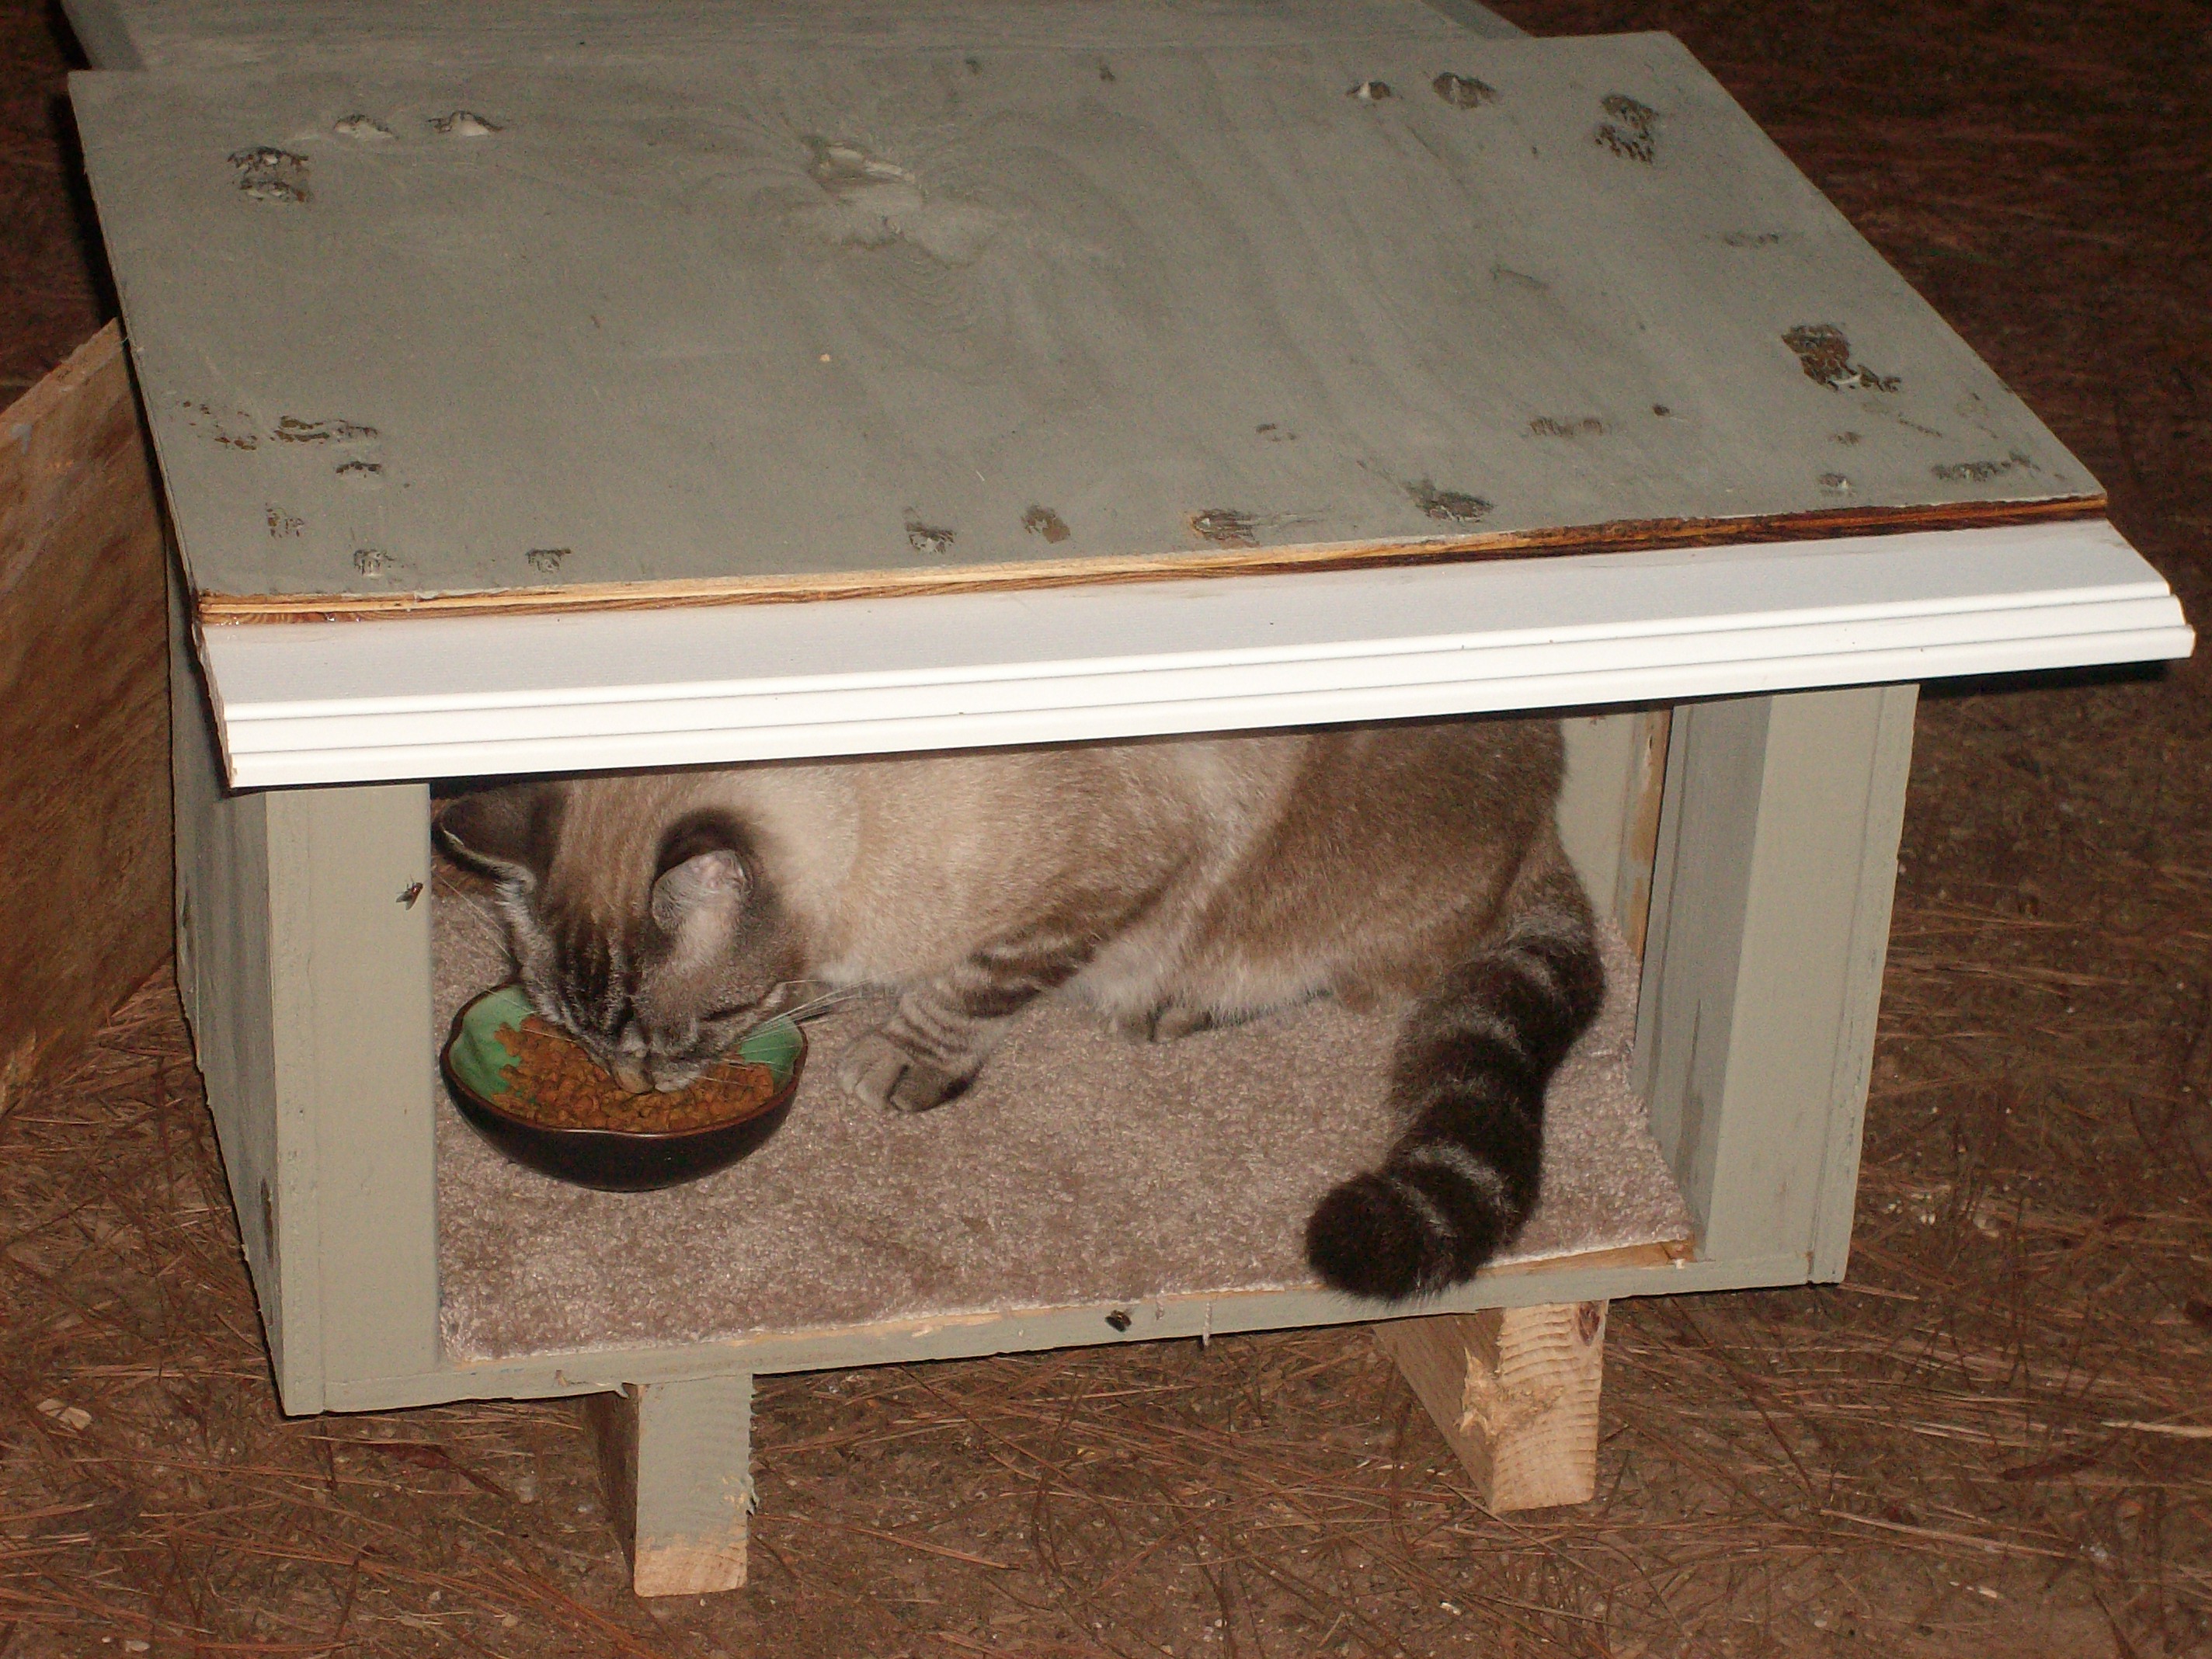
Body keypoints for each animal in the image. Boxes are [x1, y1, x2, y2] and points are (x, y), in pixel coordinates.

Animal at [436, 721, 1610, 1309]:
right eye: (578, 1035)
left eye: (700, 1023)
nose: (635, 1086)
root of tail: (1550, 827)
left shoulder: (1096, 889)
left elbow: (967, 991)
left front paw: (894, 1059)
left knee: (1355, 984)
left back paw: (1170, 1009)